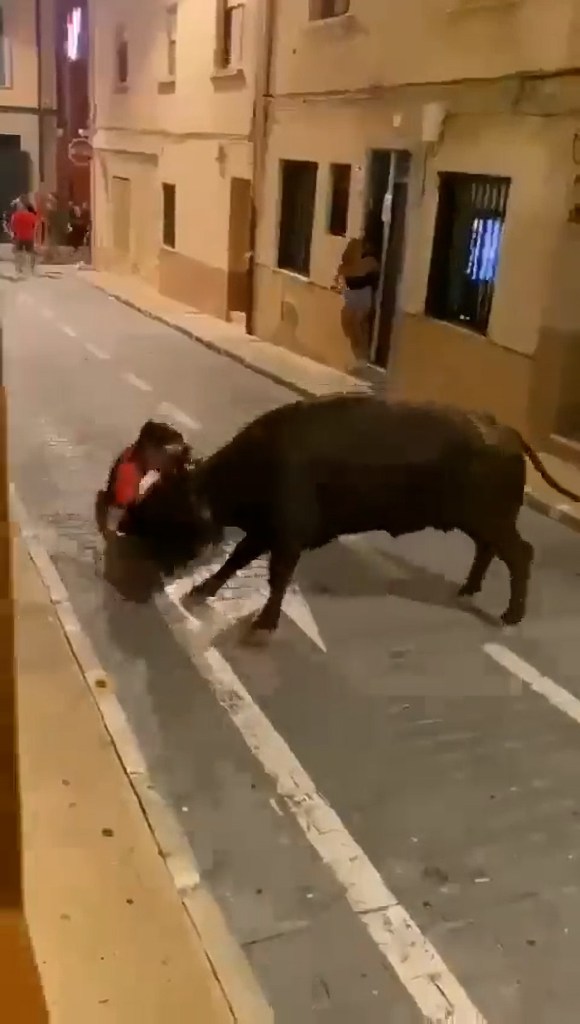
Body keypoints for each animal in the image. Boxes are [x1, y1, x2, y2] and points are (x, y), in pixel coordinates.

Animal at [115, 395, 577, 634]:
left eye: (167, 504)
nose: (126, 521)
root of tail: (507, 431)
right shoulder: (264, 531)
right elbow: (235, 561)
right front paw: (199, 591)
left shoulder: (288, 534)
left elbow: (276, 576)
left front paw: (263, 625)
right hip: (480, 521)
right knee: (488, 551)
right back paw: (467, 590)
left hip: (493, 518)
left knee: (520, 553)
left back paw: (509, 616)